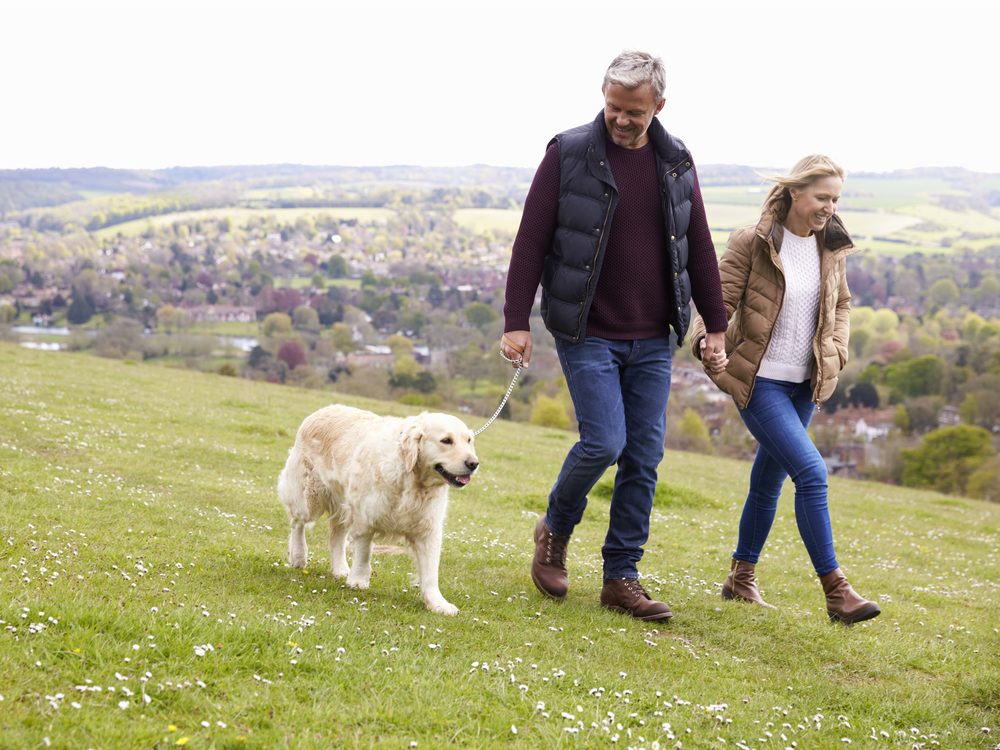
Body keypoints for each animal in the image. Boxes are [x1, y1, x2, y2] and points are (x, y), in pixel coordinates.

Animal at [274, 406, 476, 616]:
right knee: (297, 523)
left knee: (336, 536)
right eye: (446, 440)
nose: (473, 463)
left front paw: (438, 603)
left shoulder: (428, 530)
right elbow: (364, 553)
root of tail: (322, 410)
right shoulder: (365, 518)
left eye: (468, 441)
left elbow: (430, 572)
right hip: (308, 496)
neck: (412, 481)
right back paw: (298, 556)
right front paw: (358, 581)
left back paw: (340, 569)